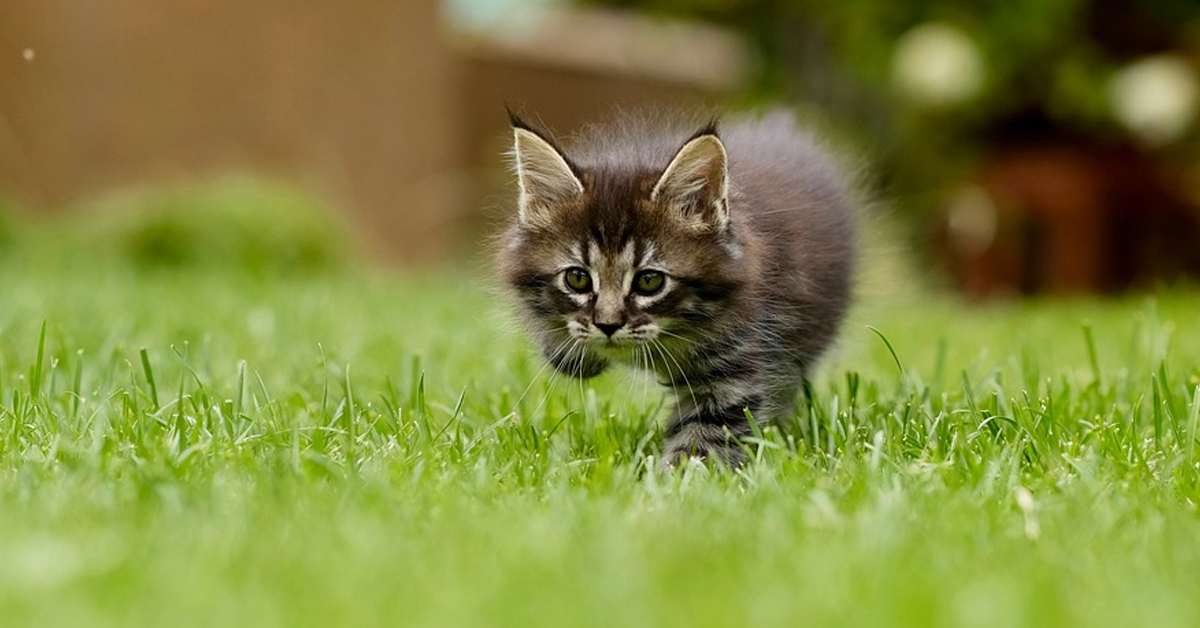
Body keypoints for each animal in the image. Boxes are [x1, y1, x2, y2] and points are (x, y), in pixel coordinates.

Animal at [501, 111, 859, 465]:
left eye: (649, 281)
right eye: (577, 278)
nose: (608, 325)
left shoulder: (734, 363)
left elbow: (706, 438)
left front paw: (677, 477)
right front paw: (571, 353)